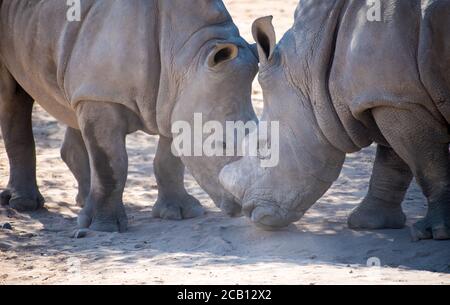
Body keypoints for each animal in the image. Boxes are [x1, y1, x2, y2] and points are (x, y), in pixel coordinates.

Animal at [0, 0, 258, 230]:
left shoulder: (174, 99)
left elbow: (169, 161)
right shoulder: (103, 96)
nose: (243, 207)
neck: (188, 55)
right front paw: (105, 227)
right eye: (221, 144)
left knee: (72, 100)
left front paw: (182, 213)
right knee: (13, 96)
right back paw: (25, 205)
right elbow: (111, 163)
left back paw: (83, 203)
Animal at [221, 0, 450, 240]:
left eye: (263, 147)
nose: (248, 212)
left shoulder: (398, 99)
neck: (311, 69)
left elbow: (427, 165)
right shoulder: (388, 98)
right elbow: (393, 160)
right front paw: (368, 223)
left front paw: (437, 232)